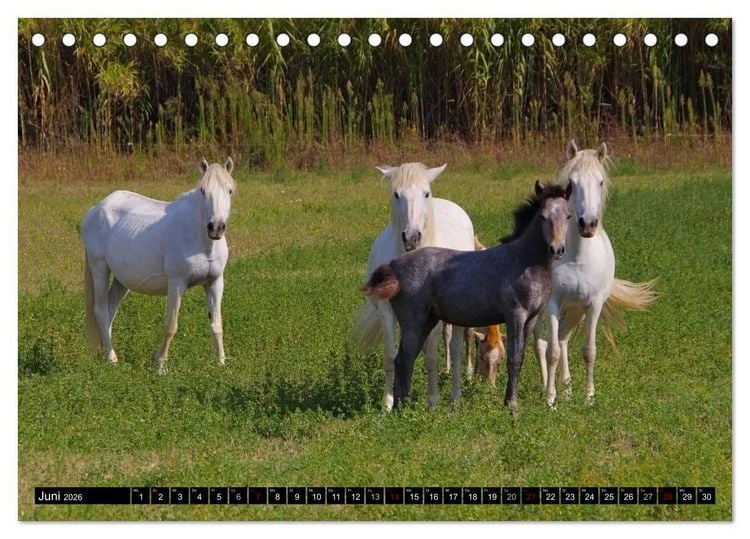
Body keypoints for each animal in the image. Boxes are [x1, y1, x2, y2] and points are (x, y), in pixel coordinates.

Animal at [82, 157, 236, 373]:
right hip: (99, 268)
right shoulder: (177, 284)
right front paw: (160, 366)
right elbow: (171, 326)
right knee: (101, 311)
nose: (216, 228)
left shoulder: (215, 282)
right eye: (203, 191)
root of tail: (95, 209)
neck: (201, 239)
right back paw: (112, 359)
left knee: (110, 310)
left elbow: (216, 325)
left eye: (229, 190)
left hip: (122, 280)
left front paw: (221, 364)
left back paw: (106, 353)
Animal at [353, 163, 475, 410]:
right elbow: (391, 358)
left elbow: (431, 358)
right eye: (396, 194)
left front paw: (432, 403)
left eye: (426, 193)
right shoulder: (387, 311)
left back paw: (455, 397)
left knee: (457, 348)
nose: (411, 238)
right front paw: (388, 404)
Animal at [364, 181, 573, 418]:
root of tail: (394, 265)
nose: (557, 249)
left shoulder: (531, 318)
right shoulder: (515, 316)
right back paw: (402, 409)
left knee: (405, 357)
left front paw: (510, 403)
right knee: (404, 358)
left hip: (428, 321)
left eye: (568, 216)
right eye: (543, 216)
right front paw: (512, 407)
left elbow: (519, 359)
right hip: (413, 321)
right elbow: (514, 359)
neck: (524, 261)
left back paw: (402, 406)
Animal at [534, 140, 657, 408]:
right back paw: (548, 386)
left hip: (575, 311)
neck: (578, 257)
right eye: (572, 183)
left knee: (563, 338)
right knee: (542, 343)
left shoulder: (594, 304)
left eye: (600, 182)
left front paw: (589, 397)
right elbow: (551, 352)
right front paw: (550, 400)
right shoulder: (552, 304)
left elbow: (589, 351)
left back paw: (567, 389)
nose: (587, 224)